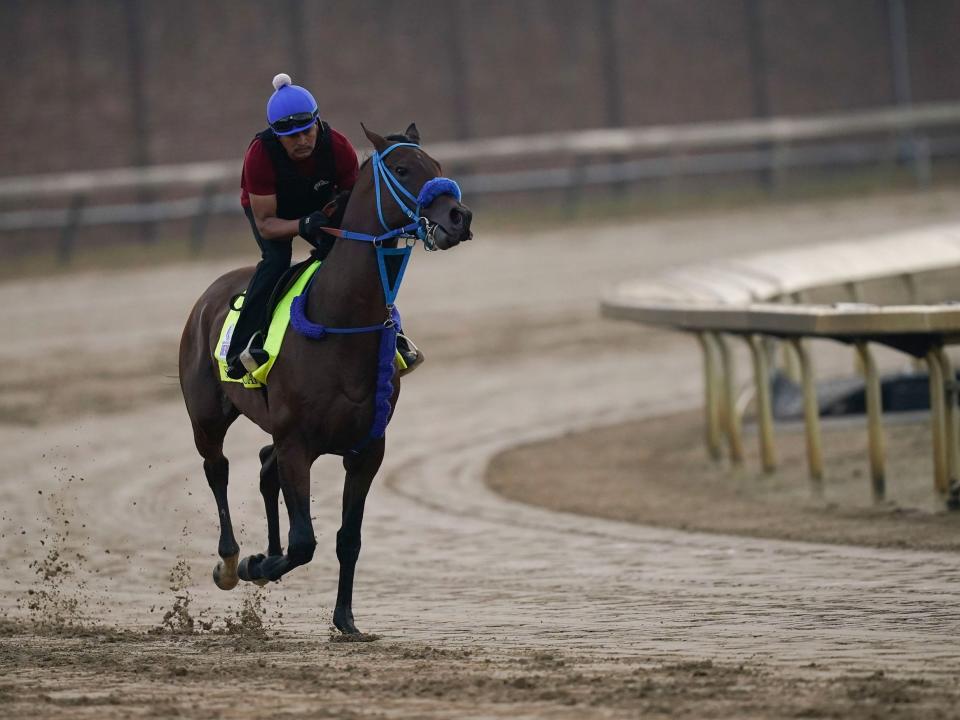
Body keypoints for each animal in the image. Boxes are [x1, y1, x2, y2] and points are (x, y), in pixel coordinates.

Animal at [179, 125, 472, 636]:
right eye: (402, 169)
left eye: (436, 165)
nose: (459, 217)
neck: (341, 320)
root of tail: (207, 297)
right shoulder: (299, 443)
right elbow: (304, 541)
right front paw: (258, 565)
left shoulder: (367, 449)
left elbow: (346, 538)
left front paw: (345, 620)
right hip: (207, 417)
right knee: (218, 470)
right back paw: (233, 562)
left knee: (264, 465)